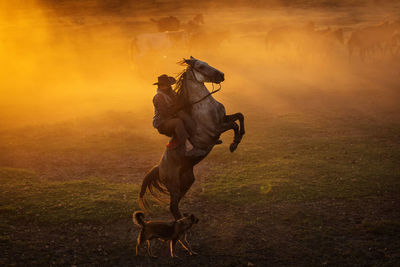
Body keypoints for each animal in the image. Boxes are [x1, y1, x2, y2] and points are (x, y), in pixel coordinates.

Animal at [139, 56, 245, 220]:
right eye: (201, 66)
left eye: (207, 63)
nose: (221, 75)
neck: (203, 105)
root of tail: (159, 168)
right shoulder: (216, 129)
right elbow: (234, 124)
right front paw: (234, 144)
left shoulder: (223, 119)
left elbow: (240, 116)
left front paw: (236, 141)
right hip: (174, 185)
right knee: (172, 207)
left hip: (187, 181)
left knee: (175, 205)